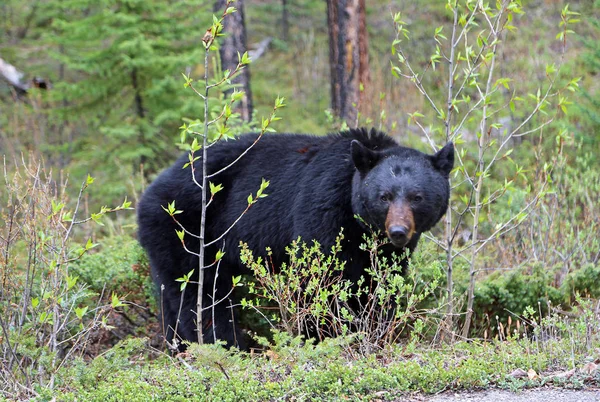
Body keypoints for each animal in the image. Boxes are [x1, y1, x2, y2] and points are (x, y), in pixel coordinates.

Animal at [137, 128, 454, 348]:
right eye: (384, 196)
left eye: (416, 197)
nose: (398, 231)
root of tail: (149, 191)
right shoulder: (322, 207)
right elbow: (319, 278)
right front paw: (327, 334)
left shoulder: (388, 251)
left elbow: (380, 282)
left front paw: (375, 329)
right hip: (183, 230)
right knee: (200, 293)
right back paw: (227, 343)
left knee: (171, 296)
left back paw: (178, 345)